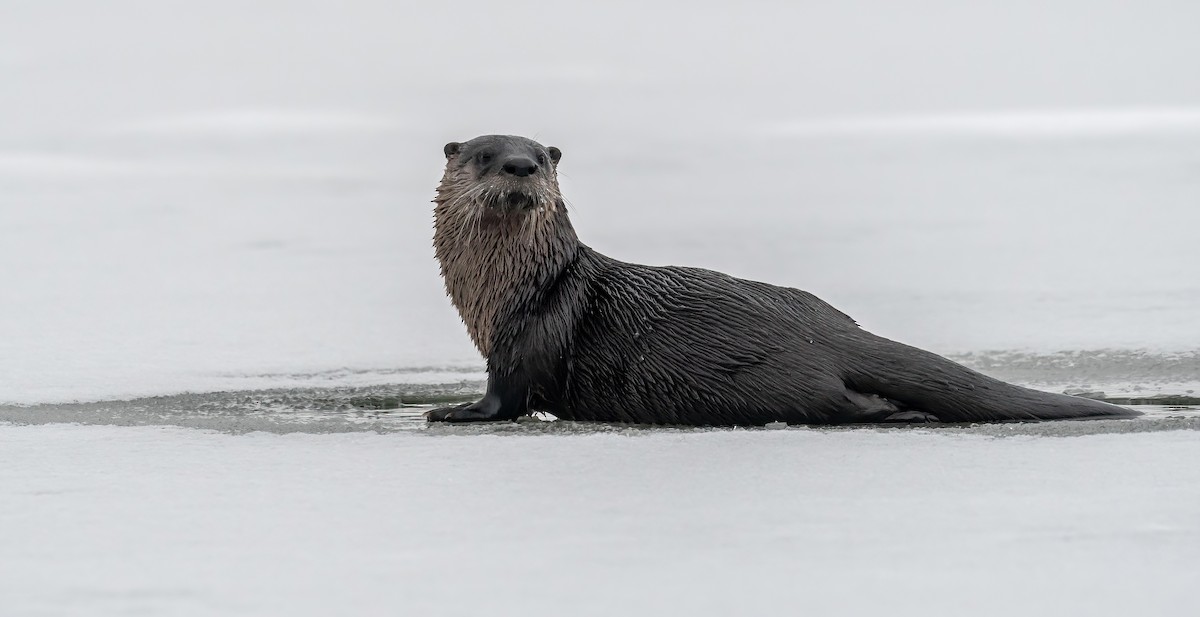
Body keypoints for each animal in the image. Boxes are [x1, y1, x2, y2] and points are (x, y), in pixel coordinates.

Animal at [425, 135, 1138, 425]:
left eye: (542, 158)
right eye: (486, 155)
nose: (521, 167)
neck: (514, 288)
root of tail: (824, 330)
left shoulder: (526, 339)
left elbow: (506, 396)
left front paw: (452, 411)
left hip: (762, 381)